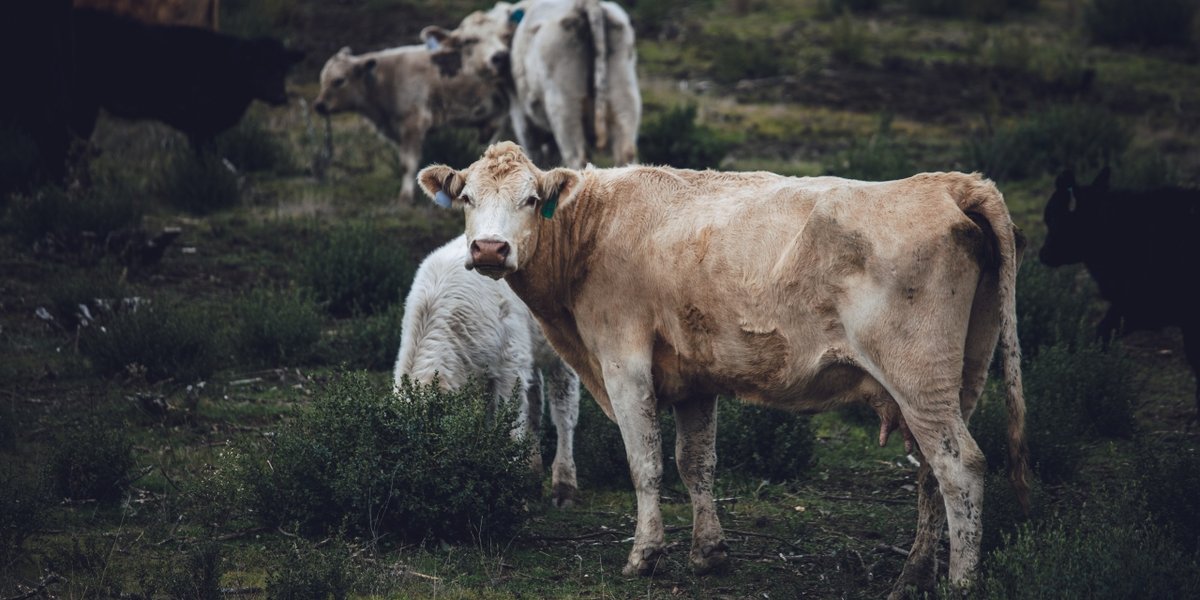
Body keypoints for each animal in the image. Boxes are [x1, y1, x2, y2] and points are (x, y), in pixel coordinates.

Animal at [313, 44, 510, 203]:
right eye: (322, 78)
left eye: (339, 80)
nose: (319, 105)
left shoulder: (412, 124)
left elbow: (408, 164)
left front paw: (406, 197)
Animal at [416, 142, 1030, 597]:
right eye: (466, 197)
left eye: (528, 199)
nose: (490, 249)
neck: (595, 230)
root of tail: (951, 183)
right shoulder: (694, 377)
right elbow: (696, 464)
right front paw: (708, 552)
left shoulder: (623, 362)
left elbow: (646, 464)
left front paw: (645, 555)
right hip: (960, 375)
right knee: (931, 473)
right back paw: (913, 576)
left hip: (917, 376)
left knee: (960, 467)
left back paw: (960, 583)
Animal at [423, 0, 641, 168]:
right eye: (469, 41)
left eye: (503, 34)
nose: (499, 57)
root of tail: (585, 4)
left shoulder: (521, 116)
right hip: (625, 97)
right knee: (626, 154)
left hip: (563, 107)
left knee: (577, 159)